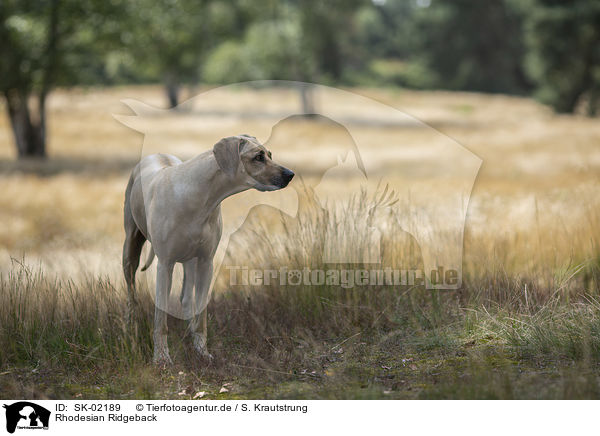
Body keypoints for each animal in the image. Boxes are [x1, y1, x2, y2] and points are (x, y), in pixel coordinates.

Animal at [121, 135, 292, 366]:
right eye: (258, 157)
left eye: (270, 155)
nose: (290, 174)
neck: (199, 198)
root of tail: (154, 154)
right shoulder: (165, 265)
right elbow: (161, 319)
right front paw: (161, 358)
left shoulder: (205, 263)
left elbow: (201, 315)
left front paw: (202, 352)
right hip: (130, 248)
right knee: (132, 293)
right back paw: (131, 325)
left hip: (190, 261)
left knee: (186, 298)